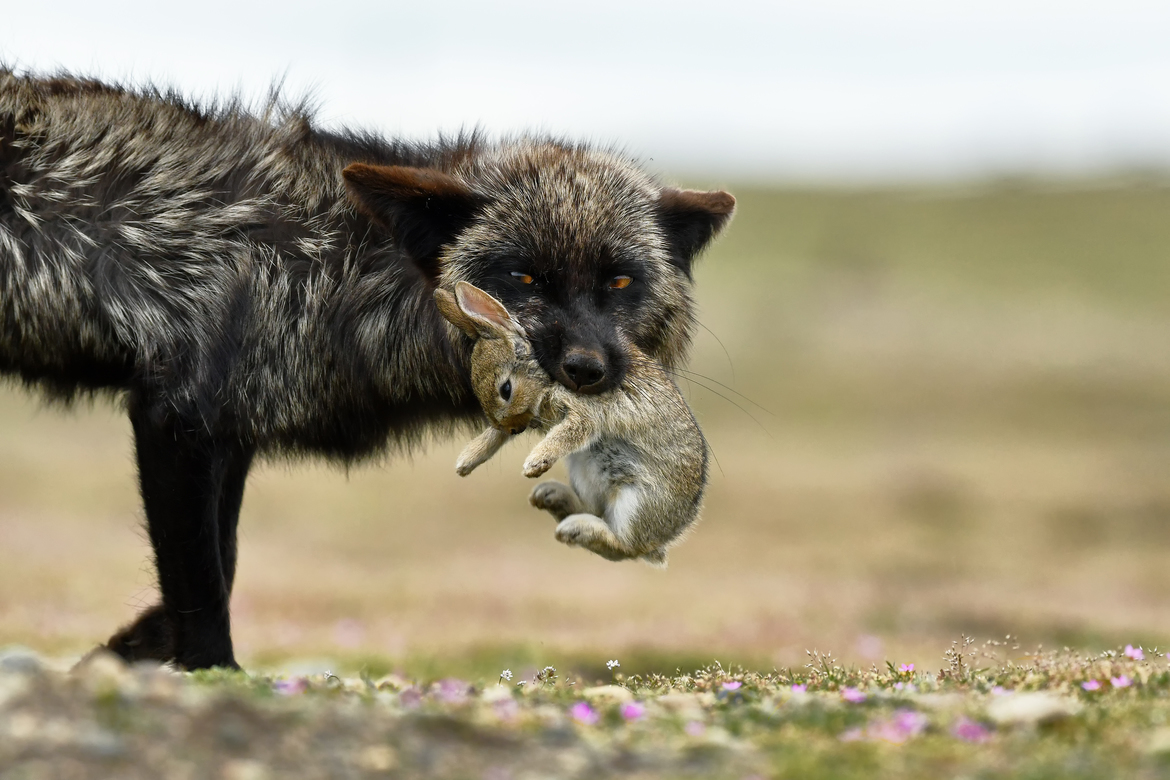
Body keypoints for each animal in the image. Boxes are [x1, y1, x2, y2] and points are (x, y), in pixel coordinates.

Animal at [434, 282, 707, 565]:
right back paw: (551, 498)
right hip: (584, 472)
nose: (513, 428)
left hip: (635, 502)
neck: (546, 376)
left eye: (506, 389)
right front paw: (466, 460)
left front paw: (534, 463)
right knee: (597, 513)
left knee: (623, 547)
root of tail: (666, 536)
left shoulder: (582, 413)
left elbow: (570, 431)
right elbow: (496, 435)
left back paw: (574, 527)